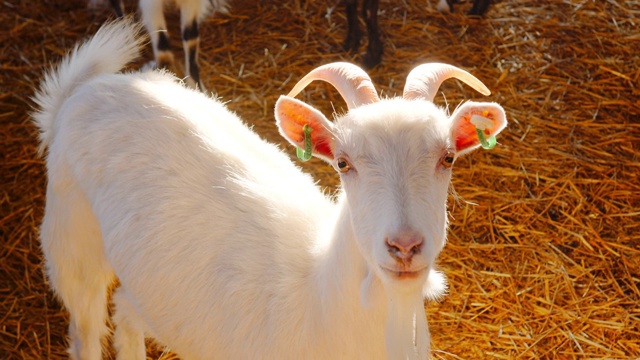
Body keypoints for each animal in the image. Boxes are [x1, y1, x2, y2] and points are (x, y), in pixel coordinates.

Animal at [33, 17, 504, 360]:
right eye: (343, 163)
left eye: (447, 157)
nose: (404, 246)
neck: (318, 296)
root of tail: (86, 88)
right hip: (72, 243)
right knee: (86, 327)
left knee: (127, 312)